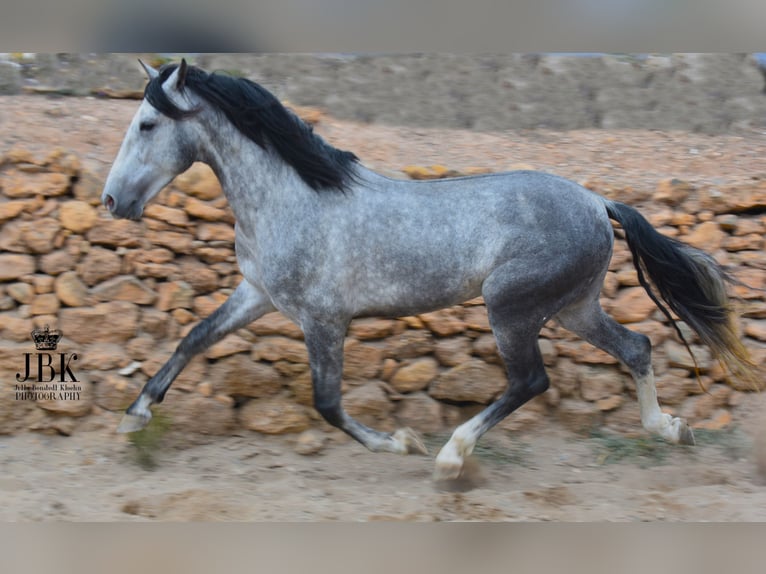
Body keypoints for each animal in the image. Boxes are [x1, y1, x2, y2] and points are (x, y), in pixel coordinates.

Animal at [102, 59, 756, 482]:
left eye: (148, 124)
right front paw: (135, 417)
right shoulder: (257, 293)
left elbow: (327, 403)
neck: (294, 198)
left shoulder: (323, 319)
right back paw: (671, 429)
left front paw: (403, 442)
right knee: (637, 347)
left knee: (531, 381)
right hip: (575, 307)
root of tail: (597, 201)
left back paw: (450, 456)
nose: (111, 202)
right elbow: (193, 338)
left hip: (511, 307)